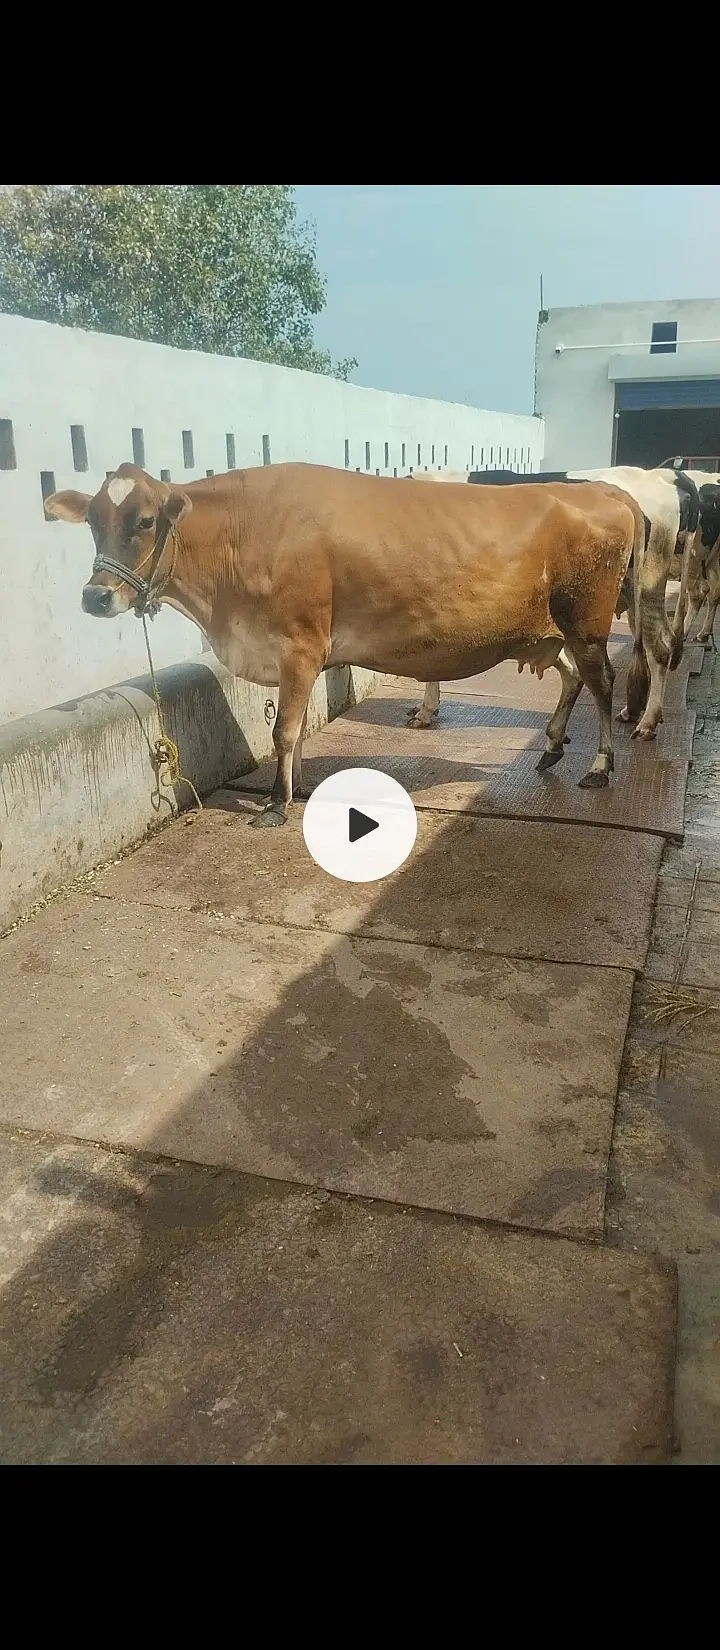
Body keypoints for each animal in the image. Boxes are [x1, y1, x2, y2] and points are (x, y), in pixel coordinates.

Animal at [44, 463, 645, 825]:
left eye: (145, 520)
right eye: (92, 520)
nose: (95, 597)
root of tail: (602, 489)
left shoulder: (299, 644)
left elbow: (284, 731)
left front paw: (275, 806)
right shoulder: (298, 652)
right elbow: (297, 729)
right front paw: (300, 788)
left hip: (586, 624)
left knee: (603, 683)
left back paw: (599, 766)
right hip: (550, 631)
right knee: (573, 678)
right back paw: (550, 748)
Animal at [409, 465, 698, 742]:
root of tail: (662, 475)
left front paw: (425, 710)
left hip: (647, 579)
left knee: (659, 647)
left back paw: (647, 723)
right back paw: (633, 712)